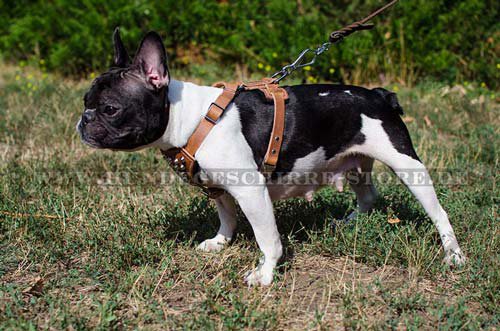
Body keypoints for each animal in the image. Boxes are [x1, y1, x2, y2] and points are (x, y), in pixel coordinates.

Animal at [77, 29, 464, 286]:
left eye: (110, 109)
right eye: (86, 101)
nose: (83, 119)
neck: (191, 118)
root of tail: (378, 95)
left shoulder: (251, 193)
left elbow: (268, 239)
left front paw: (264, 273)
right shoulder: (219, 188)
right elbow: (226, 217)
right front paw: (221, 242)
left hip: (406, 164)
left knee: (439, 212)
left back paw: (453, 255)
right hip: (354, 162)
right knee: (368, 195)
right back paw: (349, 221)